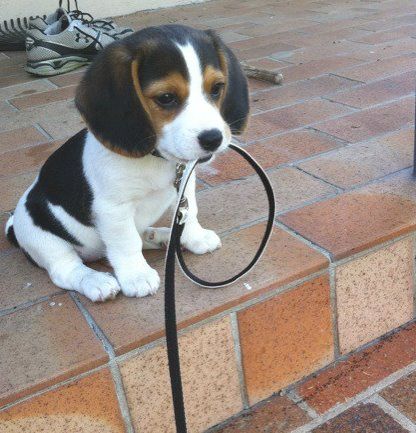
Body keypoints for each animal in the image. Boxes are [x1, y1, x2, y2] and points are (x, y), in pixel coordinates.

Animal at [5, 23, 247, 300]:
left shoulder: (185, 185)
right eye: (166, 97)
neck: (157, 158)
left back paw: (163, 236)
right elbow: (126, 242)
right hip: (44, 238)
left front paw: (195, 237)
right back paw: (96, 281)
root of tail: (14, 228)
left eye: (216, 88)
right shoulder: (113, 209)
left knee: (141, 235)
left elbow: (189, 213)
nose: (213, 138)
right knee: (65, 270)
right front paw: (137, 276)